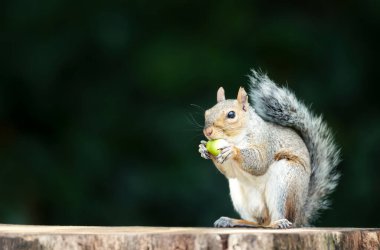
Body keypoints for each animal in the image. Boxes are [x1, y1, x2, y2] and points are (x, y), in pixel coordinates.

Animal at [197, 70, 340, 229]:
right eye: (207, 113)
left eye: (231, 114)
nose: (207, 132)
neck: (236, 138)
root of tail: (299, 218)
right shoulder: (232, 171)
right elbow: (229, 172)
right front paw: (203, 149)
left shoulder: (266, 142)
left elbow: (260, 163)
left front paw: (232, 150)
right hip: (240, 195)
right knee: (258, 223)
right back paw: (233, 221)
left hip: (285, 183)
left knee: (276, 219)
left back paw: (278, 223)